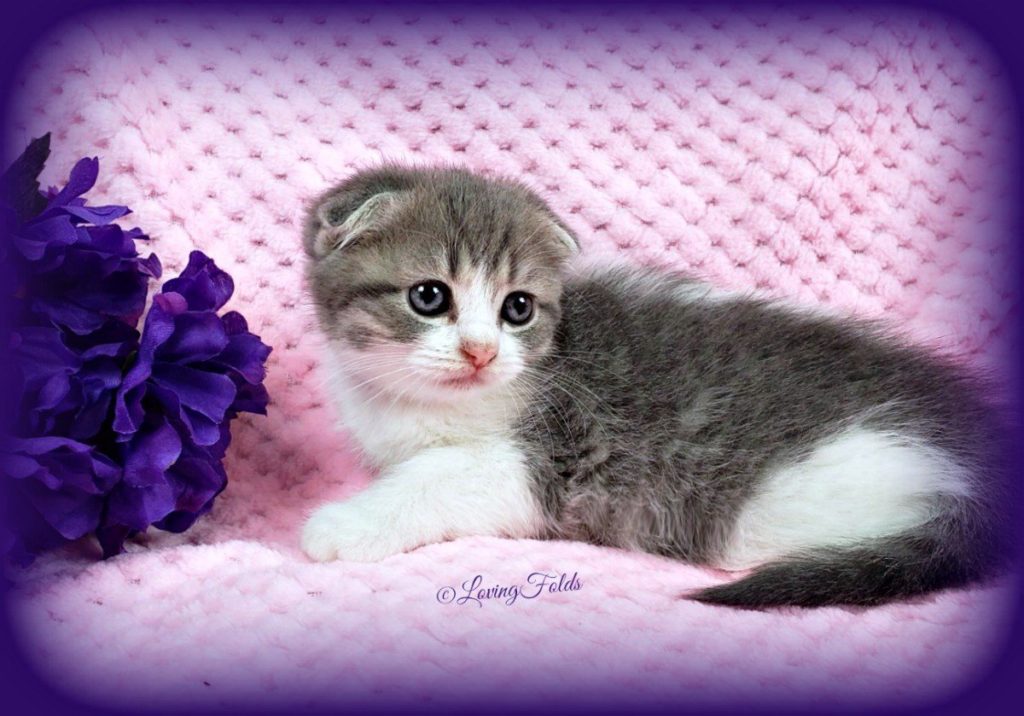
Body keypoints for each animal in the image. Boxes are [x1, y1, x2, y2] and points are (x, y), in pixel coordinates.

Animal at [299, 164, 1011, 606]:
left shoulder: (538, 465)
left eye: (517, 308)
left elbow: (432, 481)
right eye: (429, 296)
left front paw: (341, 525)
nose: (481, 351)